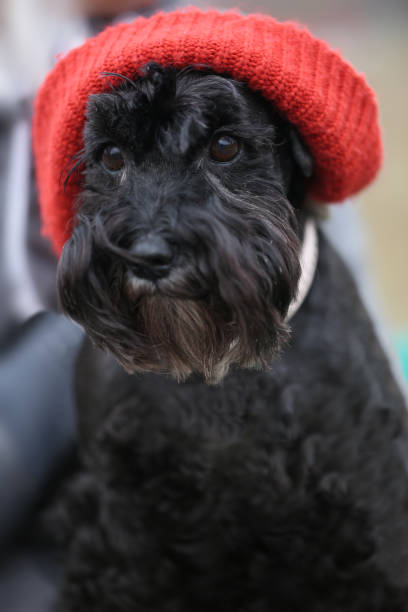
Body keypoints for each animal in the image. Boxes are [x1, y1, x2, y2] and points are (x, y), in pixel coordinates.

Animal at [44, 61, 408, 608]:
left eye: (224, 146)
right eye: (110, 156)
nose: (147, 256)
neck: (216, 366)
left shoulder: (368, 497)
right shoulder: (124, 521)